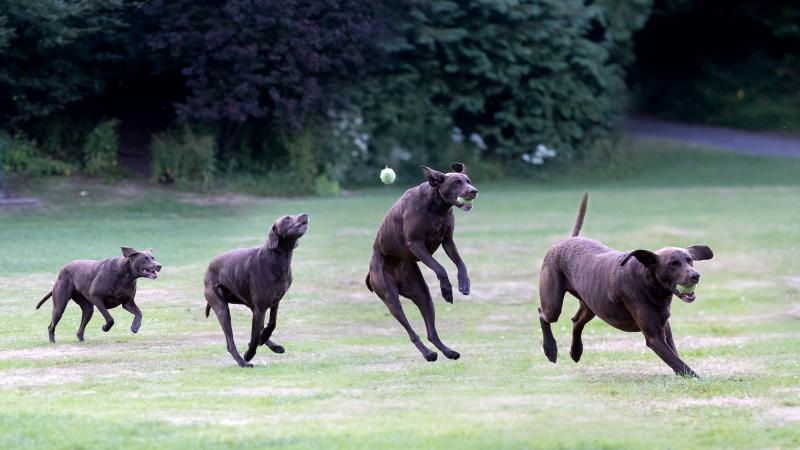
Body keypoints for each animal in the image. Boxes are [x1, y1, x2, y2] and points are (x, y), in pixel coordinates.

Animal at [204, 213, 308, 367]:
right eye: (287, 218)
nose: (305, 214)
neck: (276, 258)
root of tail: (208, 268)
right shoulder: (260, 308)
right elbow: (254, 338)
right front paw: (249, 354)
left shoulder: (272, 303)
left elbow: (271, 324)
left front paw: (263, 338)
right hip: (223, 310)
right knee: (230, 343)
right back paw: (242, 362)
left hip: (250, 305)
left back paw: (272, 345)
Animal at [366, 162, 478, 361]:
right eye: (456, 182)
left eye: (468, 181)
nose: (474, 191)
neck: (437, 207)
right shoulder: (416, 244)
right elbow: (440, 268)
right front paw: (446, 290)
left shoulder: (447, 240)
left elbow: (461, 264)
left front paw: (464, 284)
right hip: (390, 297)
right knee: (411, 332)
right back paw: (428, 354)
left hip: (421, 293)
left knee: (431, 332)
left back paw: (449, 352)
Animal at [537, 194, 713, 377]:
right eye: (673, 264)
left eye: (690, 260)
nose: (695, 276)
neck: (650, 284)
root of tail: (568, 239)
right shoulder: (654, 337)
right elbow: (680, 363)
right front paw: (697, 379)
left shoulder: (664, 328)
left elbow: (675, 357)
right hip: (553, 305)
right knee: (543, 314)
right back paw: (550, 350)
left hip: (592, 304)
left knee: (576, 321)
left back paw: (576, 352)